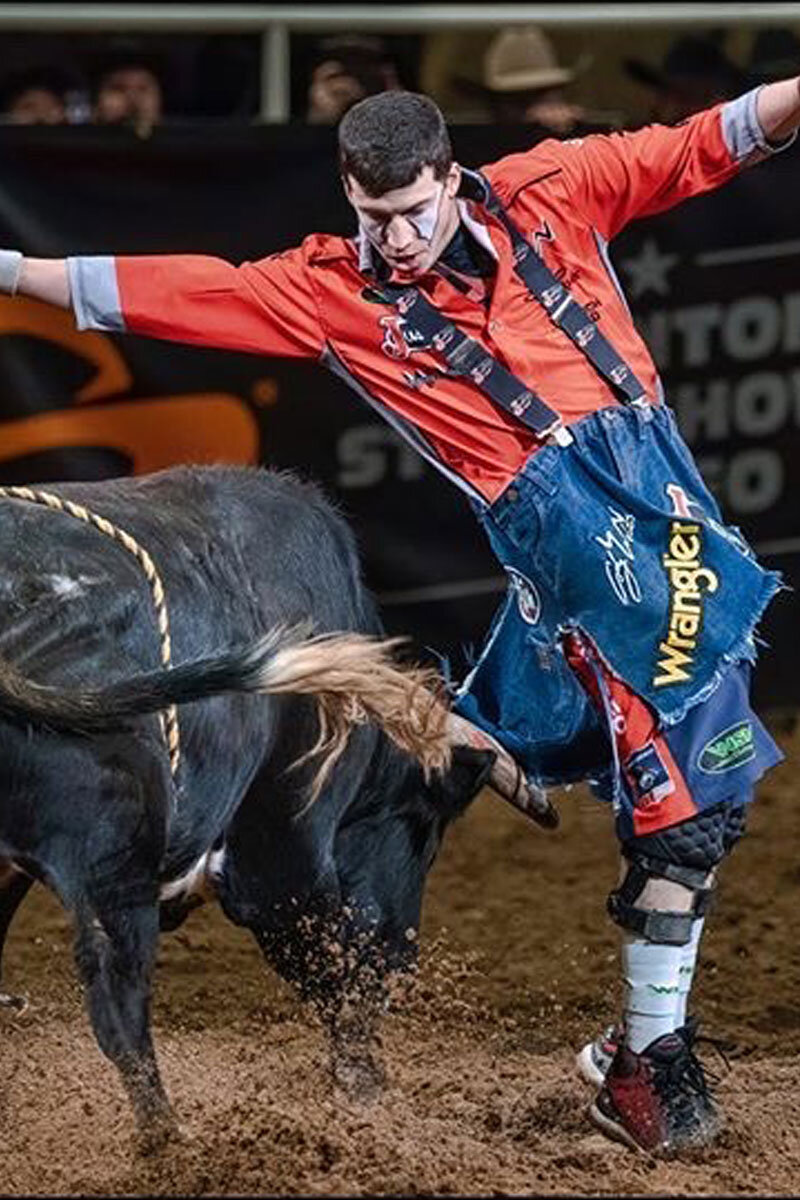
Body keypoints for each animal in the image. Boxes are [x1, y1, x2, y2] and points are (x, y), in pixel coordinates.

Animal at [0, 463, 501, 1147]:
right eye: (423, 830)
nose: (401, 957)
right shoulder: (284, 855)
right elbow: (330, 969)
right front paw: (367, 1091)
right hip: (114, 863)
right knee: (118, 1004)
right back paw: (172, 1141)